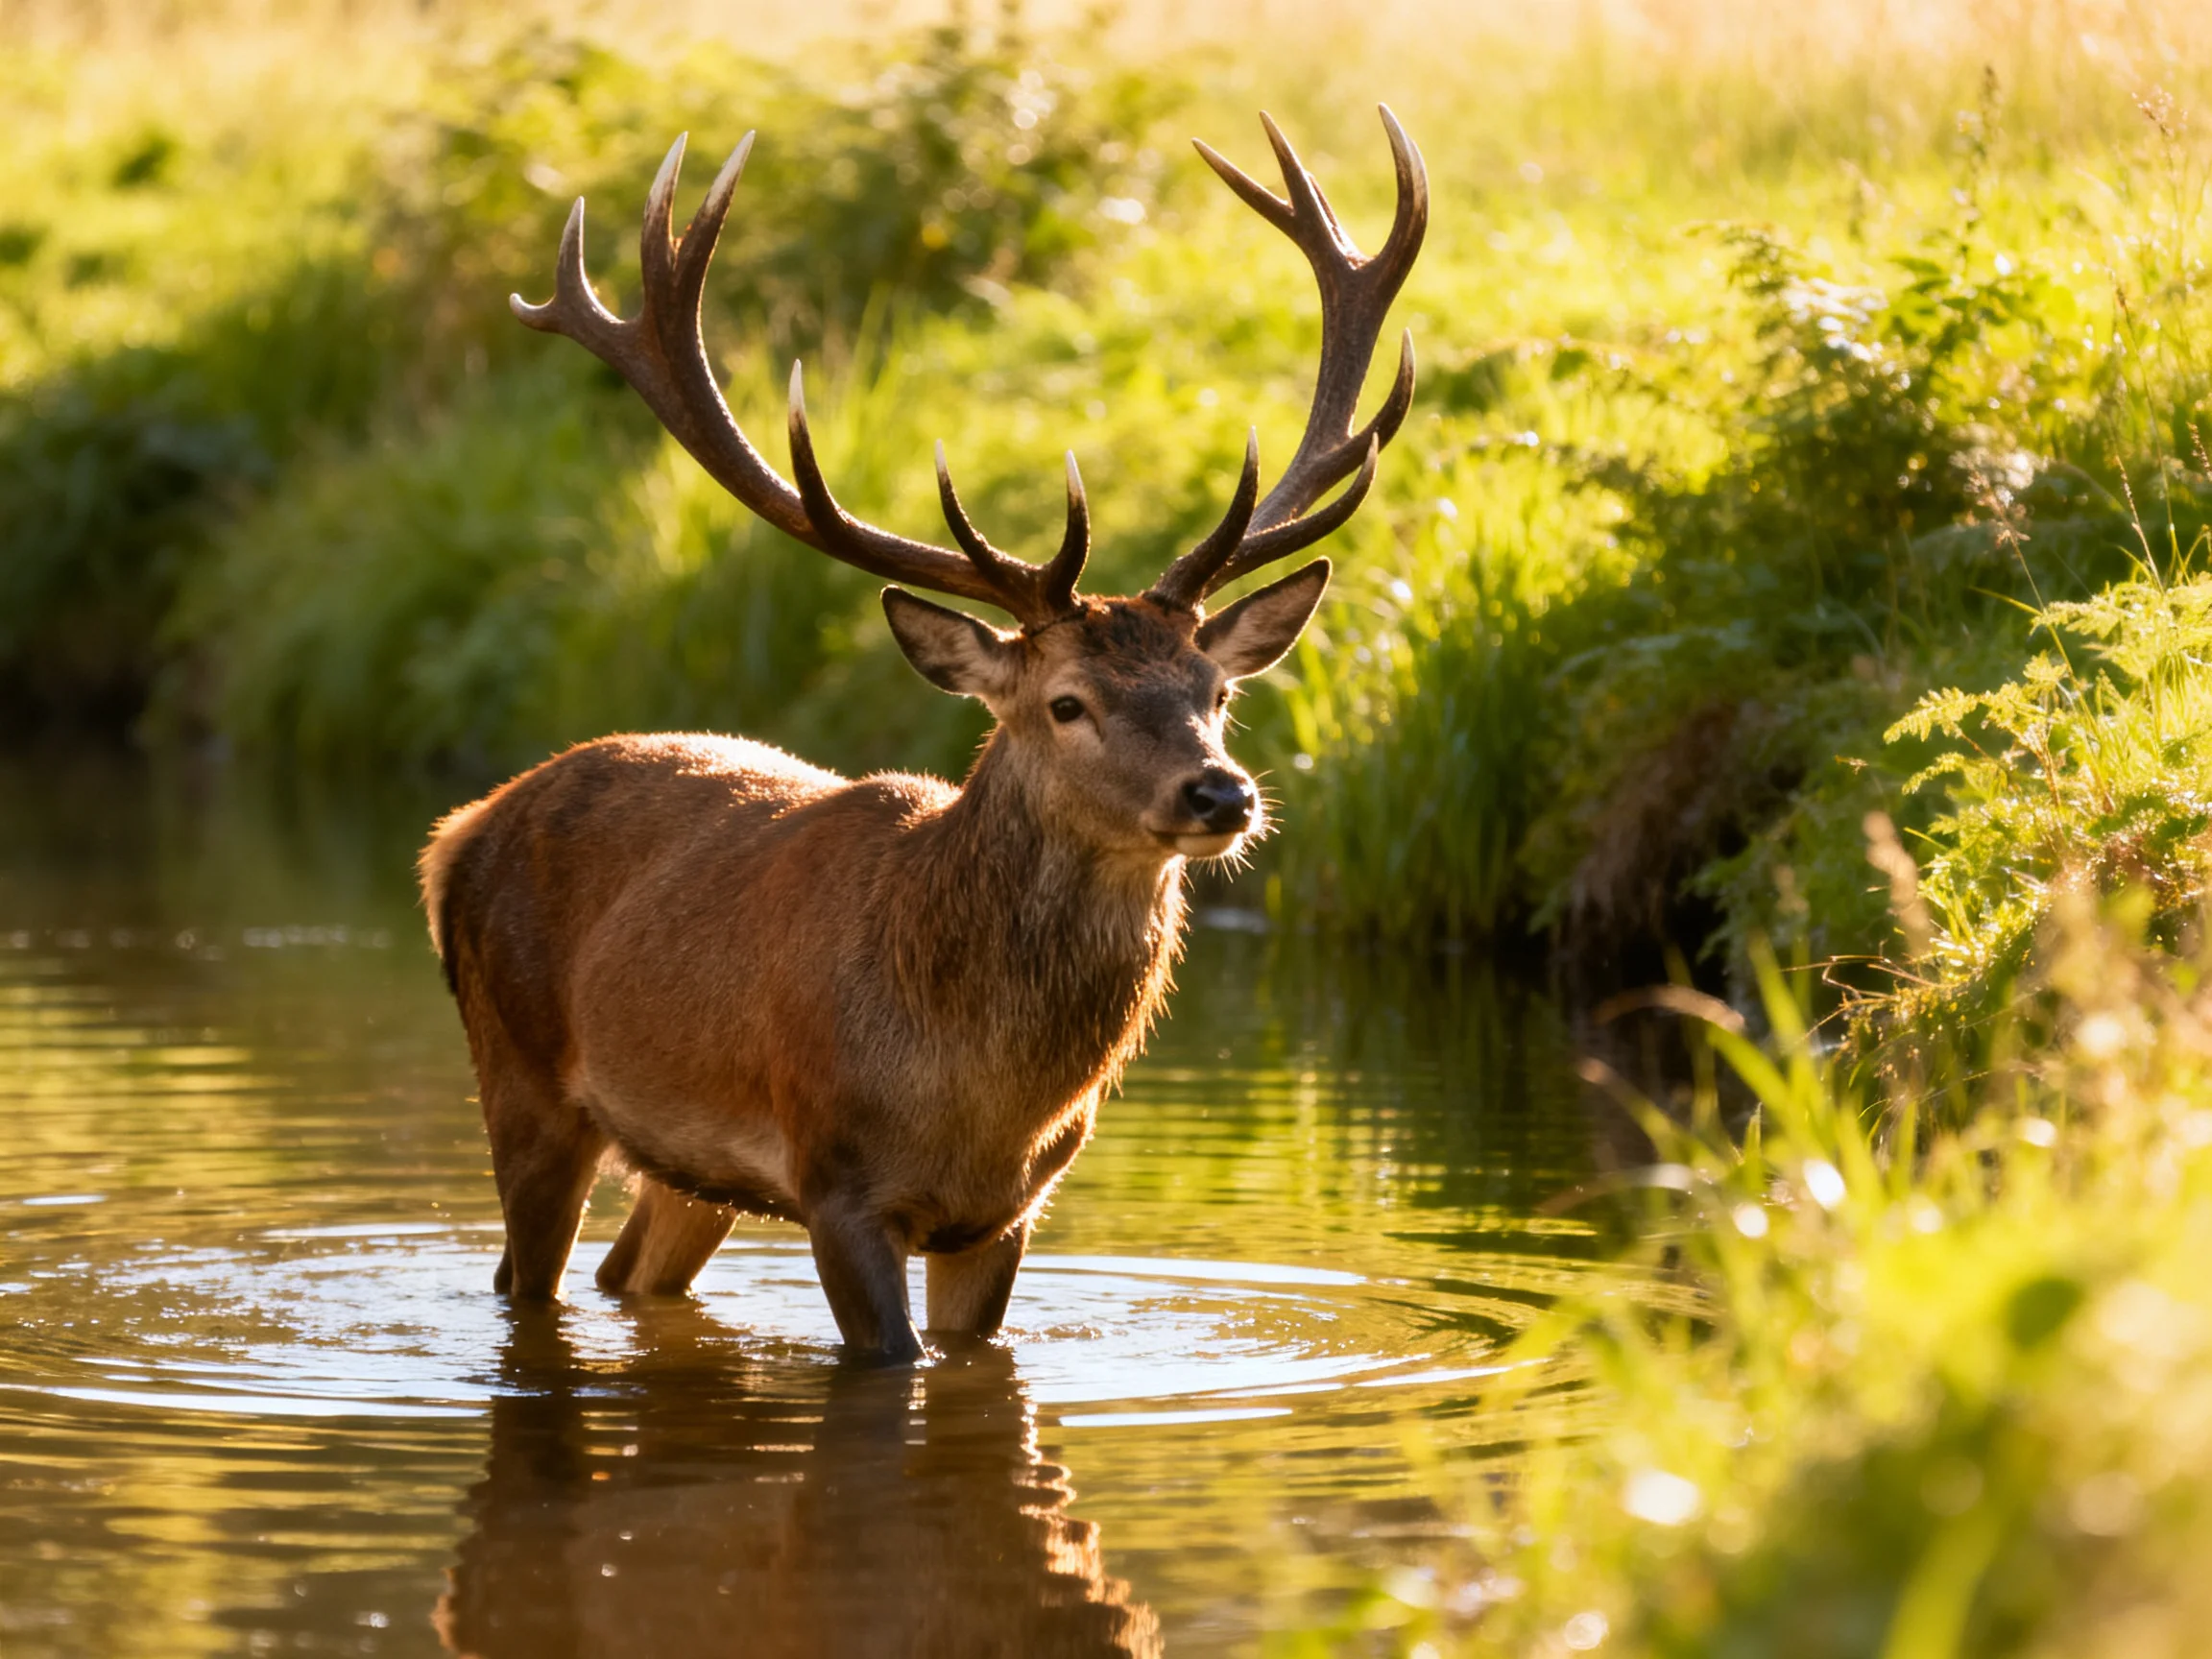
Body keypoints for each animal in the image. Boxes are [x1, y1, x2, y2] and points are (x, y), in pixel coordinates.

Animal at [419, 108, 1426, 1363]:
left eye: (1216, 691)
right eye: (1066, 703)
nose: (1220, 795)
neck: (980, 1096)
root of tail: (457, 833)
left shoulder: (1009, 1210)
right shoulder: (839, 1182)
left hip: (687, 1165)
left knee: (628, 1270)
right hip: (520, 1075)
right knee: (524, 1276)